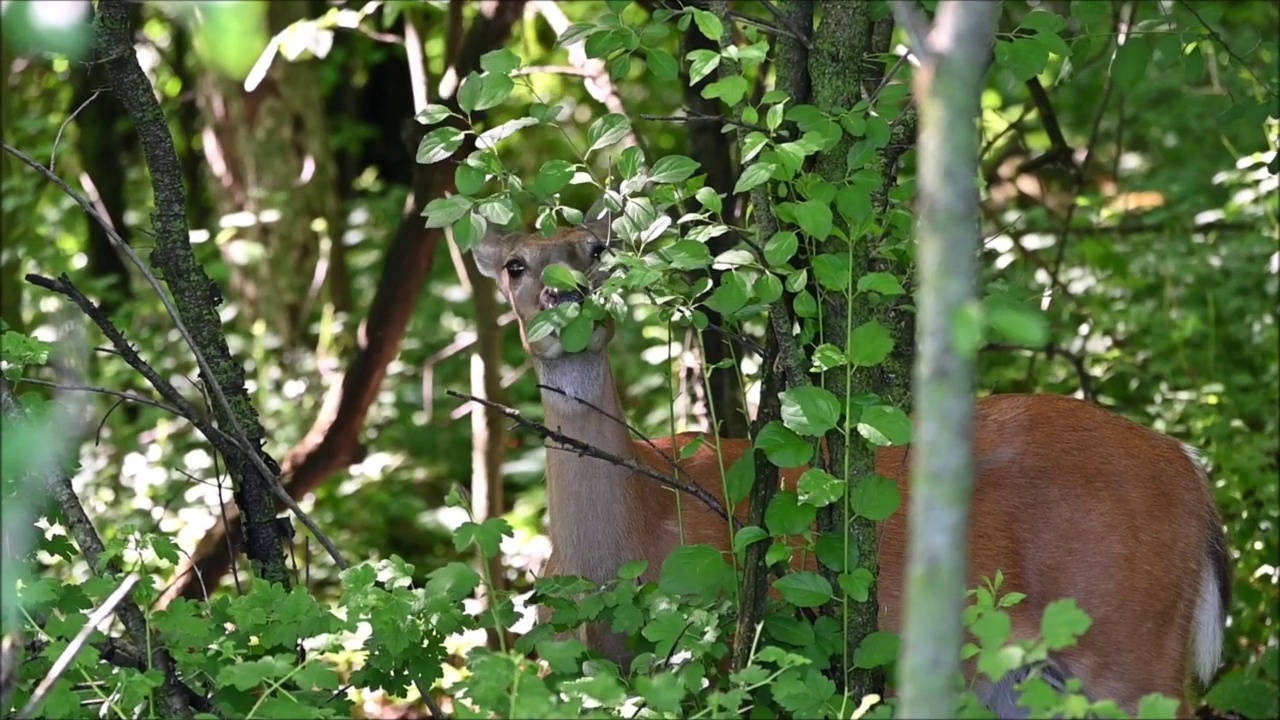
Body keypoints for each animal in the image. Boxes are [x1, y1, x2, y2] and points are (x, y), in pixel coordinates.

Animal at [471, 215, 1228, 712]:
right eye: (516, 264)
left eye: (597, 250)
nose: (564, 297)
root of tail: (1191, 471)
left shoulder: (721, 652)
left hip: (1134, 642)